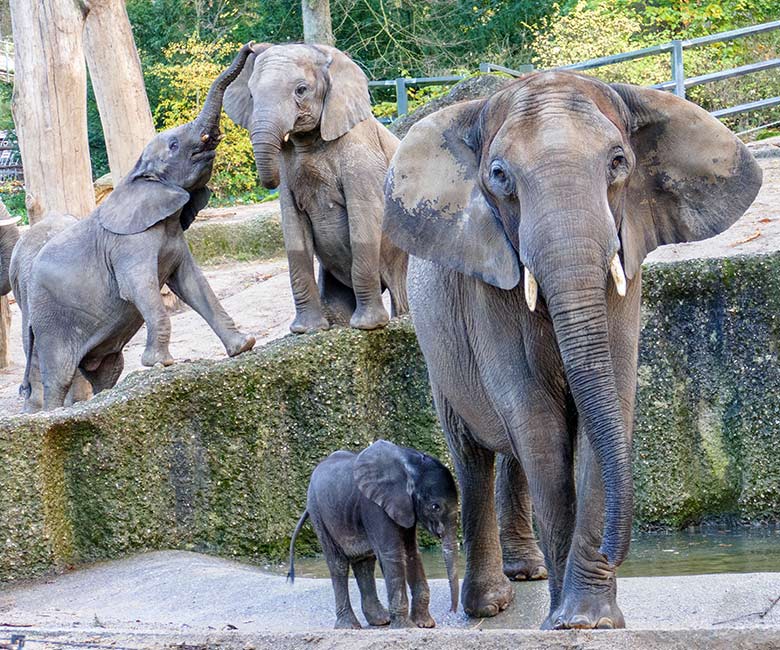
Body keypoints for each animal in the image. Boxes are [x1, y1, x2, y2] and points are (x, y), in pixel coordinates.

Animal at [222, 44, 408, 334]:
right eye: (251, 95)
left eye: (301, 90)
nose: (252, 46)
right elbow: (293, 228)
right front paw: (306, 330)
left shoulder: (361, 157)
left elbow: (364, 216)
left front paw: (368, 327)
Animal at [286, 440, 458, 628]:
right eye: (436, 507)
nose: (452, 612)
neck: (409, 463)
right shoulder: (374, 505)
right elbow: (392, 553)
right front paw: (407, 627)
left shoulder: (405, 506)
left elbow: (411, 552)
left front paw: (425, 624)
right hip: (318, 512)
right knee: (338, 564)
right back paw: (350, 626)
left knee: (364, 563)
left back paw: (381, 620)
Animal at [384, 72, 760, 628]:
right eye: (499, 175)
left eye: (618, 162)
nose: (614, 551)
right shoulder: (487, 289)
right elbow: (537, 422)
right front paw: (565, 621)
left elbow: (608, 405)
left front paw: (591, 620)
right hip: (437, 349)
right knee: (472, 453)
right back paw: (489, 604)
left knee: (509, 454)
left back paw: (528, 574)